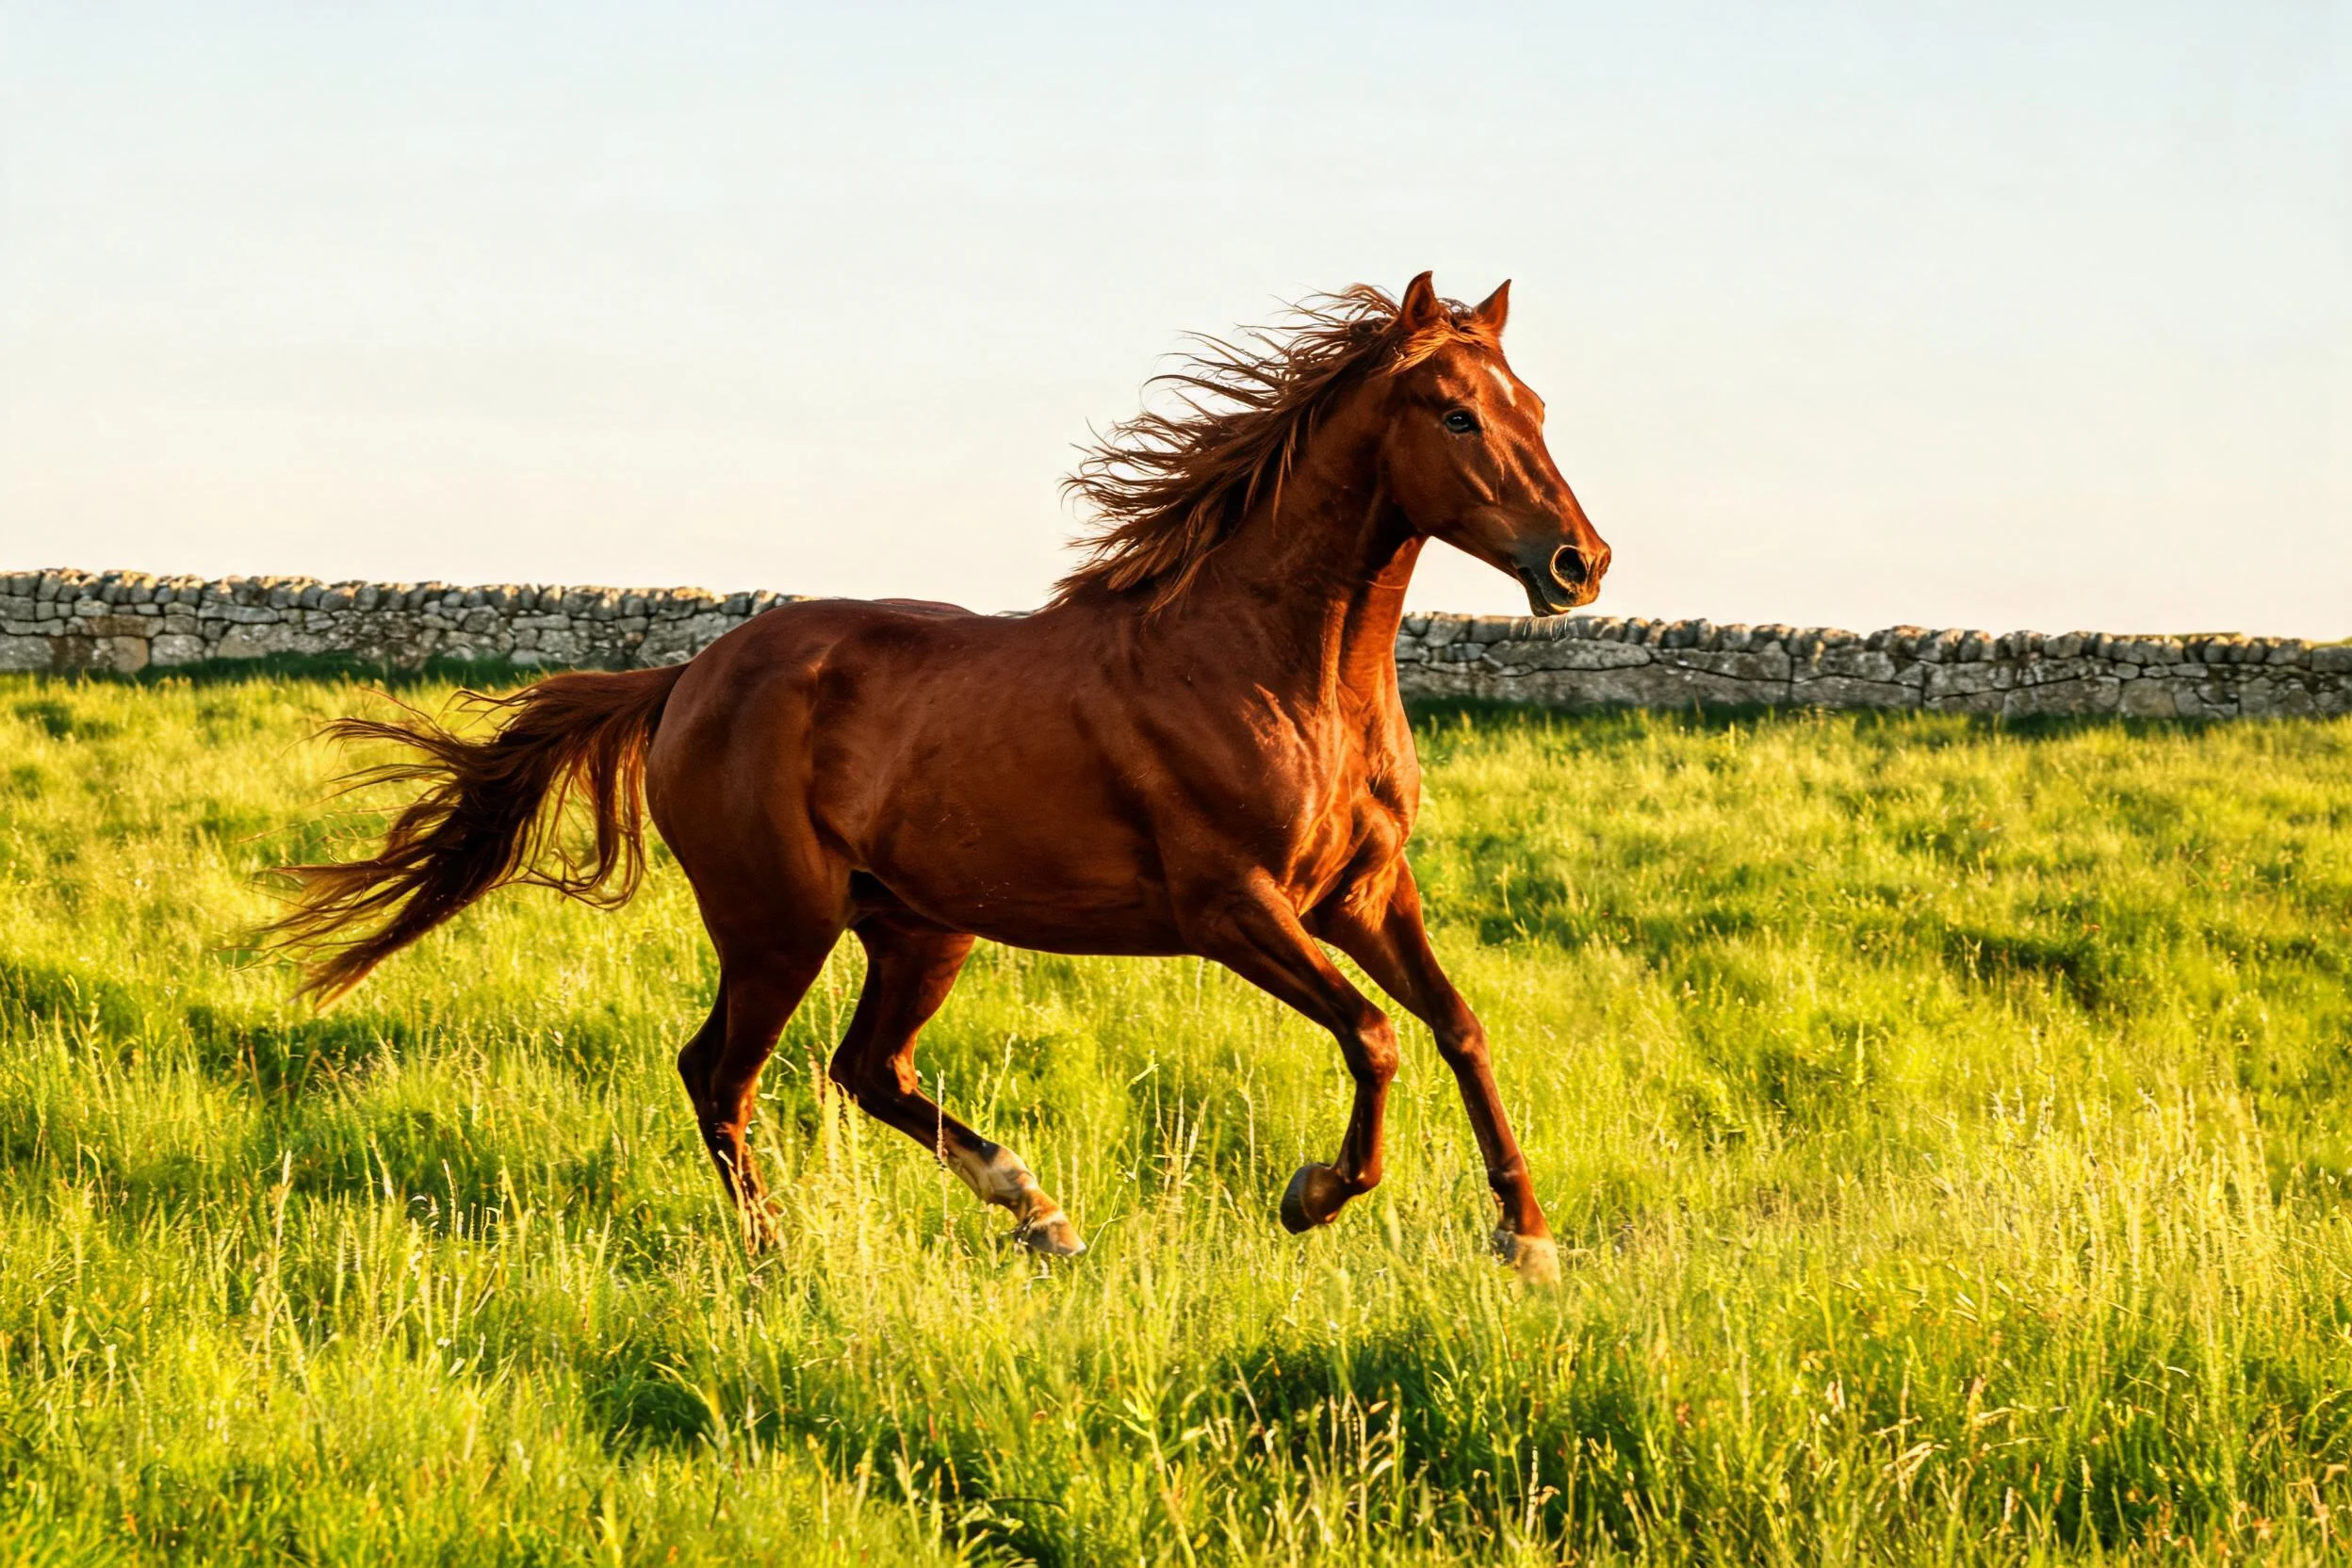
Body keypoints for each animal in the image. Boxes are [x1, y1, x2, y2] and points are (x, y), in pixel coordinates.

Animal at [267, 273, 1610, 1283]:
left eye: (1537, 402)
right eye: (1454, 414)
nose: (1578, 562)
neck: (1276, 669)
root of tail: (689, 675)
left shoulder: (1367, 890)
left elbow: (1457, 1024)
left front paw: (1529, 1241)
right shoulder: (1232, 905)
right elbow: (1376, 1033)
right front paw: (1315, 1192)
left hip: (919, 927)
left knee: (865, 1068)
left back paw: (1037, 1209)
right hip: (778, 923)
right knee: (722, 1071)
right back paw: (776, 1256)